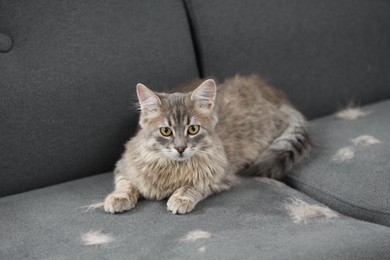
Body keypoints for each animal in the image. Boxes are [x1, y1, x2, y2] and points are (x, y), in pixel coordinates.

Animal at [103, 74, 310, 214]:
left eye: (193, 129)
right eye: (166, 131)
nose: (180, 148)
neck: (172, 168)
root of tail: (267, 89)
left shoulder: (221, 175)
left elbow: (194, 185)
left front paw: (180, 198)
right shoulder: (123, 165)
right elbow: (125, 184)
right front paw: (118, 198)